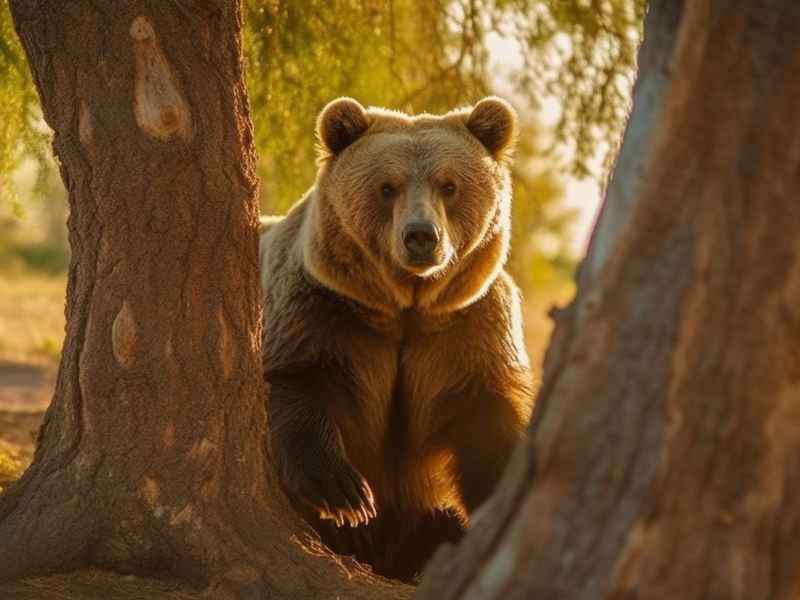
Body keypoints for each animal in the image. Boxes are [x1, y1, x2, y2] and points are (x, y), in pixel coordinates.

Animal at [259, 96, 533, 582]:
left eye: (449, 185)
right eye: (387, 187)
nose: (421, 236)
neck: (404, 309)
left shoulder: (465, 331)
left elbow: (487, 424)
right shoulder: (322, 310)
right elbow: (293, 380)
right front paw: (344, 492)